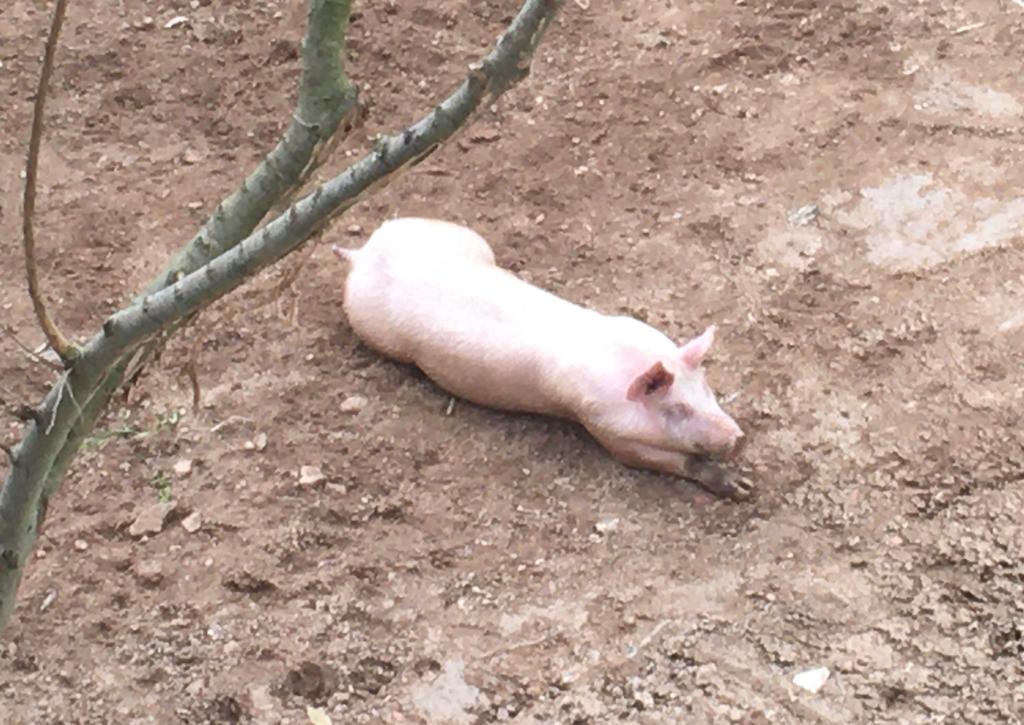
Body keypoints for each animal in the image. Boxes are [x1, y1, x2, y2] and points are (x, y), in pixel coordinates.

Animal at [332, 217, 749, 499]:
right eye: (677, 409)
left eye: (707, 390)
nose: (738, 437)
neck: (627, 362)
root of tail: (363, 254)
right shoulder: (605, 427)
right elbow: (661, 460)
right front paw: (744, 487)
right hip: (375, 330)